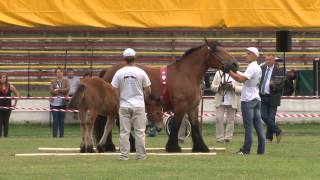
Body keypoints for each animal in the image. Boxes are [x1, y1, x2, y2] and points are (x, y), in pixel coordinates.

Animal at [104, 40, 236, 152]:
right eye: (218, 51)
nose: (235, 64)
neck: (186, 74)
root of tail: (107, 71)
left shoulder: (192, 107)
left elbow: (195, 126)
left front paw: (201, 147)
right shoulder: (180, 106)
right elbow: (176, 125)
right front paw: (173, 147)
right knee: (117, 123)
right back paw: (128, 145)